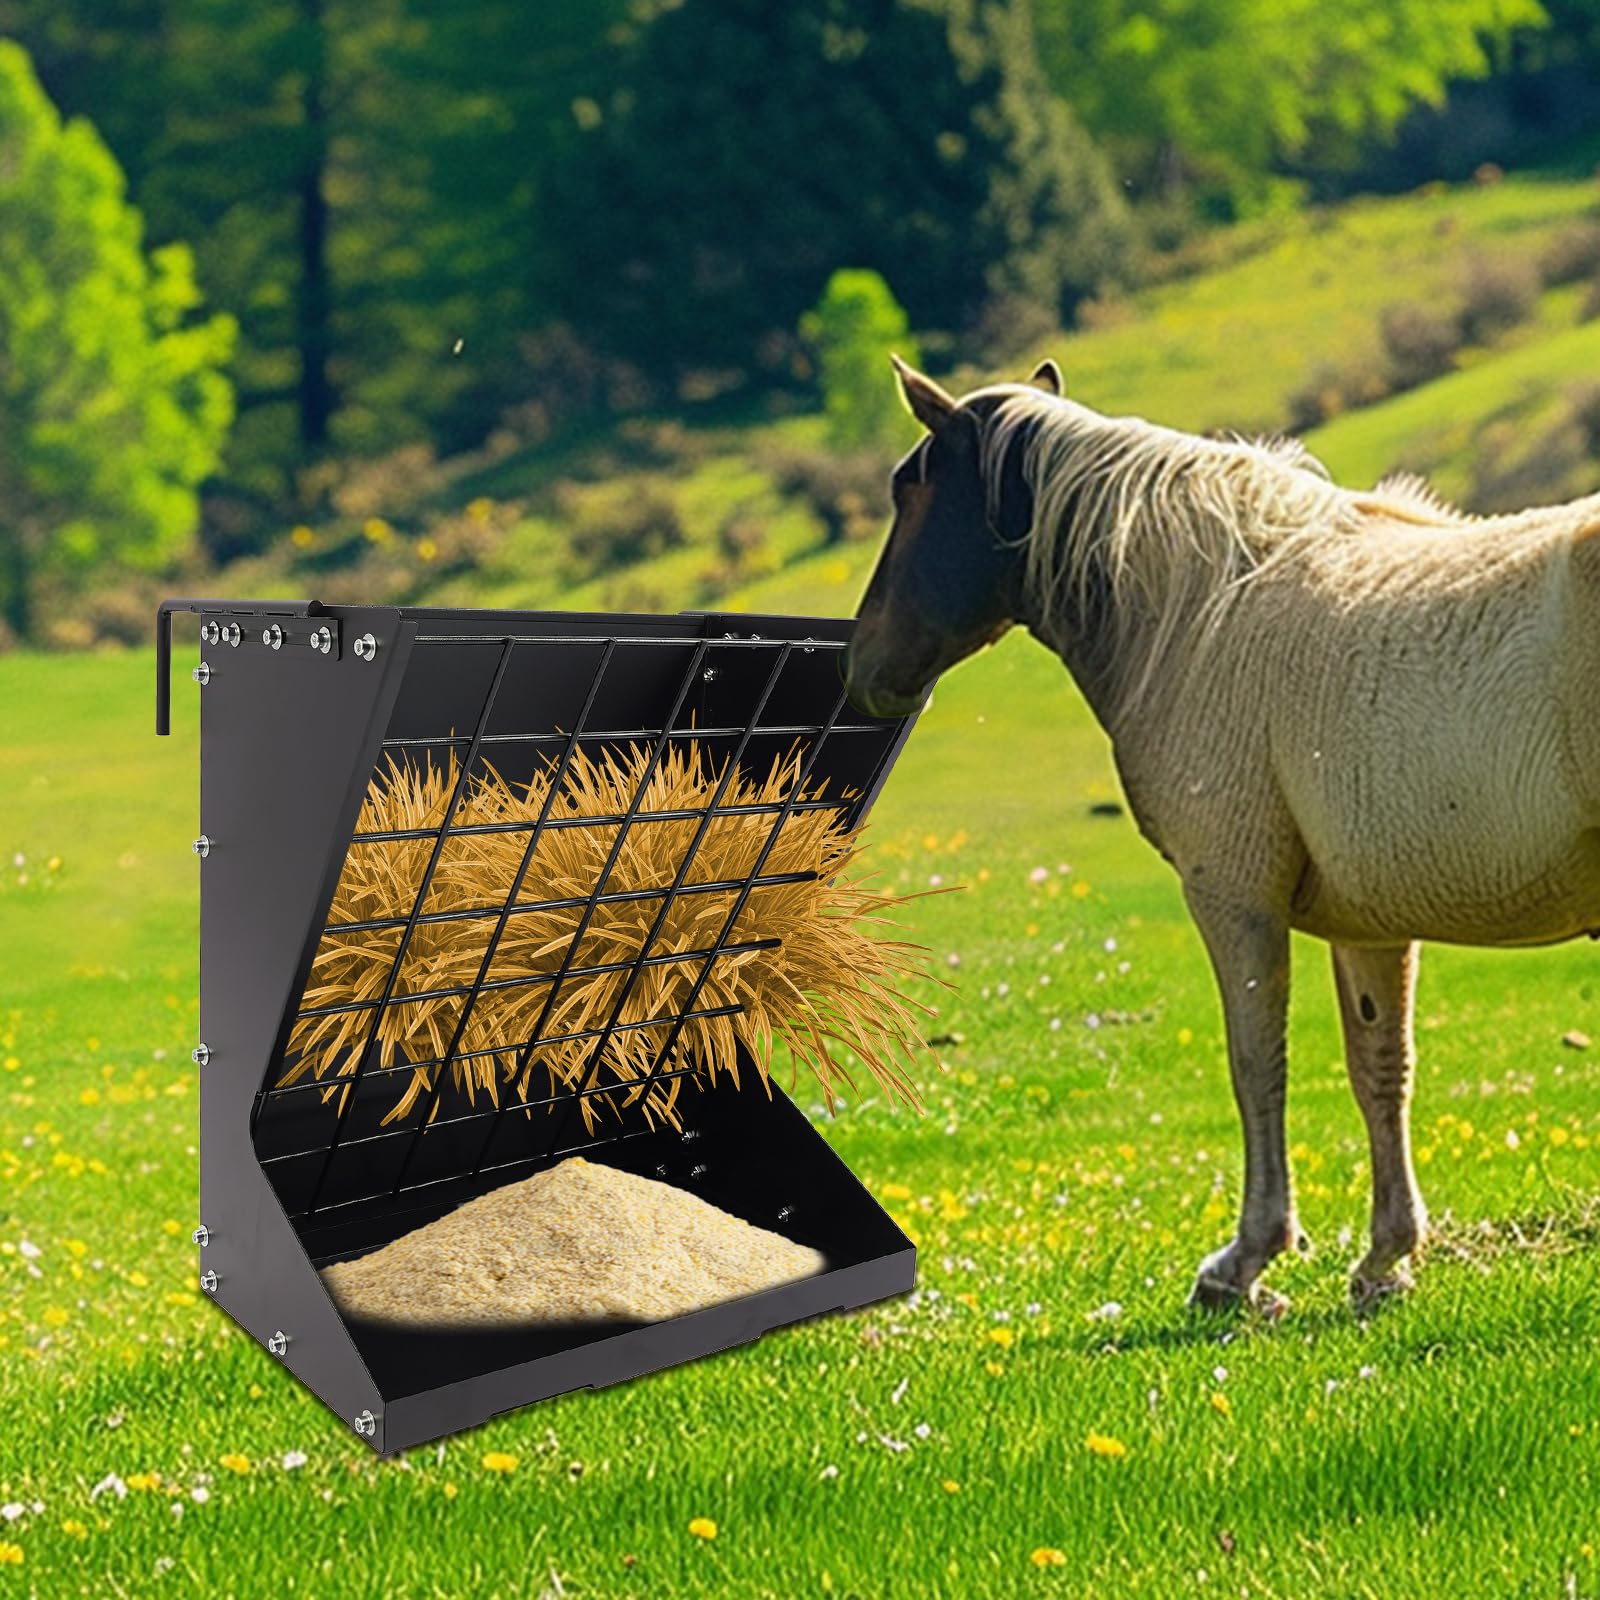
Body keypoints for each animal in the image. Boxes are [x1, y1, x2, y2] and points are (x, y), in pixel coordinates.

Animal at [843, 355, 1600, 1313]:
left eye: (911, 493)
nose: (863, 671)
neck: (1208, 612)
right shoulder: (1371, 926)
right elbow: (1380, 1072)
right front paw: (1385, 1259)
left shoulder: (1232, 897)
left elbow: (1256, 1066)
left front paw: (1247, 1260)